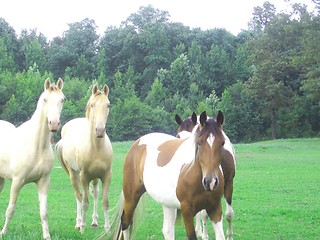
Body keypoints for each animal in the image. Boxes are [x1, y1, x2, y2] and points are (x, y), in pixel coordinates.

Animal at [0, 78, 65, 239]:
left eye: (63, 99)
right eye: (45, 99)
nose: (54, 124)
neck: (36, 146)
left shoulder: (43, 181)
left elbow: (44, 212)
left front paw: (47, 235)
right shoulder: (17, 181)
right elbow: (10, 209)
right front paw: (3, 232)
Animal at [55, 84, 113, 232]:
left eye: (108, 105)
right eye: (92, 105)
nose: (99, 130)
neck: (96, 148)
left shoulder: (106, 175)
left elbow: (105, 202)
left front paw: (107, 228)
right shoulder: (84, 176)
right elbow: (85, 202)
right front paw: (82, 227)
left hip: (95, 178)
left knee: (95, 194)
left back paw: (94, 221)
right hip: (74, 175)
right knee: (79, 196)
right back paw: (78, 222)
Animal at [112, 111, 228, 239]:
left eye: (222, 143)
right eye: (199, 142)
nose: (210, 182)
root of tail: (137, 143)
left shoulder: (215, 208)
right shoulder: (187, 211)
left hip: (167, 203)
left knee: (167, 231)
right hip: (131, 197)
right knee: (125, 222)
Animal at [175, 112, 235, 240]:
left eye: (222, 143)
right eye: (178, 137)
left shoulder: (229, 182)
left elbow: (229, 214)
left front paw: (229, 236)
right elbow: (203, 215)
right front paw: (204, 234)